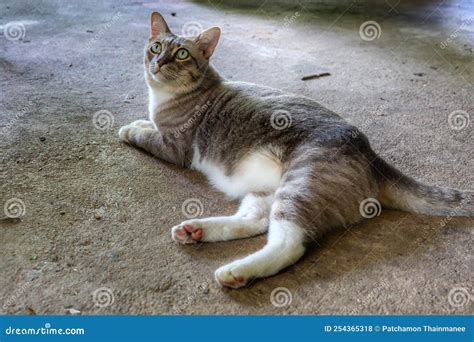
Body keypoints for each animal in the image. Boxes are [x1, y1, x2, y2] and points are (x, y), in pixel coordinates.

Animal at [118, 11, 470, 288]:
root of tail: (370, 152)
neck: (165, 97)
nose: (159, 61)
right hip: (265, 191)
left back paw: (236, 270)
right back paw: (197, 230)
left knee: (289, 243)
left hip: (301, 184)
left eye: (181, 54)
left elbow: (145, 136)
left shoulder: (174, 146)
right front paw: (140, 121)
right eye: (156, 47)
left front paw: (130, 129)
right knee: (255, 221)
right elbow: (147, 123)